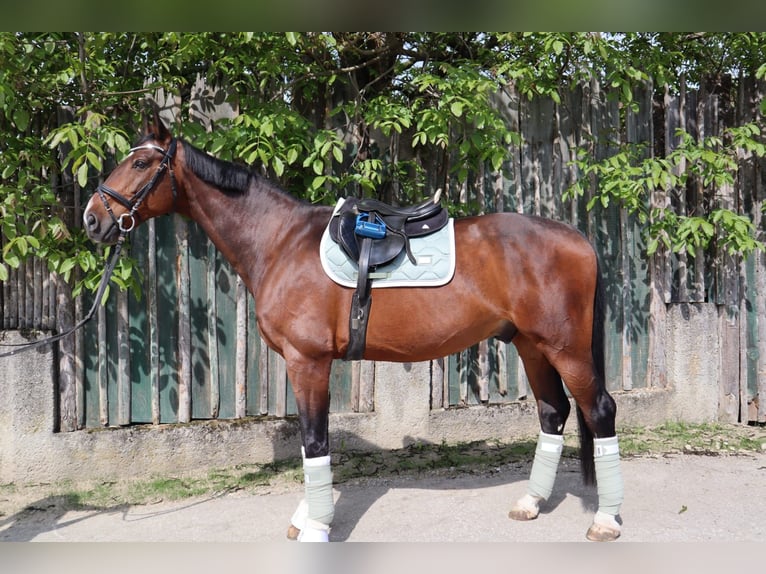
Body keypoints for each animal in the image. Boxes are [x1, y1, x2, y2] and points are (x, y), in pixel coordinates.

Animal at [82, 113, 624, 544]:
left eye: (140, 164)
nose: (91, 220)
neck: (280, 242)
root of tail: (578, 238)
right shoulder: (304, 364)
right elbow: (311, 441)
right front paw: (307, 518)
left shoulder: (308, 362)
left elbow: (315, 441)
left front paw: (316, 527)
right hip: (531, 345)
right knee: (553, 412)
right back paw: (531, 503)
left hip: (566, 347)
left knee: (599, 410)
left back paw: (606, 520)